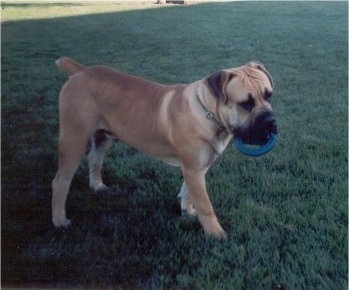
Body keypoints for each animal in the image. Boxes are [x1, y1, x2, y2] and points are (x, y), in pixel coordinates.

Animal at [51, 56, 276, 238]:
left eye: (269, 95)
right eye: (246, 103)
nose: (271, 121)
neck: (208, 113)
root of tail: (80, 71)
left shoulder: (198, 168)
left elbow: (189, 192)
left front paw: (187, 211)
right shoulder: (193, 169)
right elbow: (205, 204)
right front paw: (216, 234)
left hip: (102, 137)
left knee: (94, 160)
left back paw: (97, 186)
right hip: (74, 138)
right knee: (60, 181)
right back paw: (60, 221)